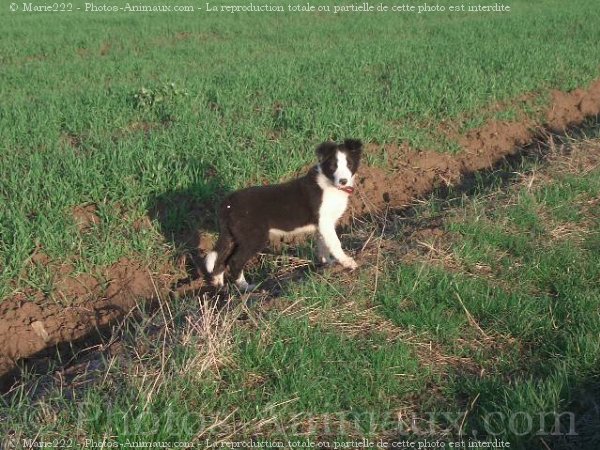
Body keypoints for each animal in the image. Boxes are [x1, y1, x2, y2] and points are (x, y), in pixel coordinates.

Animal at [204, 139, 364, 290]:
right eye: (333, 167)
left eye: (349, 165)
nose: (343, 181)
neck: (331, 185)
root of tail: (227, 204)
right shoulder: (324, 221)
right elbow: (335, 243)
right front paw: (347, 262)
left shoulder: (322, 226)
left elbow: (323, 245)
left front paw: (327, 266)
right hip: (253, 237)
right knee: (235, 261)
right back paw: (246, 287)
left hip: (232, 236)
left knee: (220, 260)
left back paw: (219, 286)